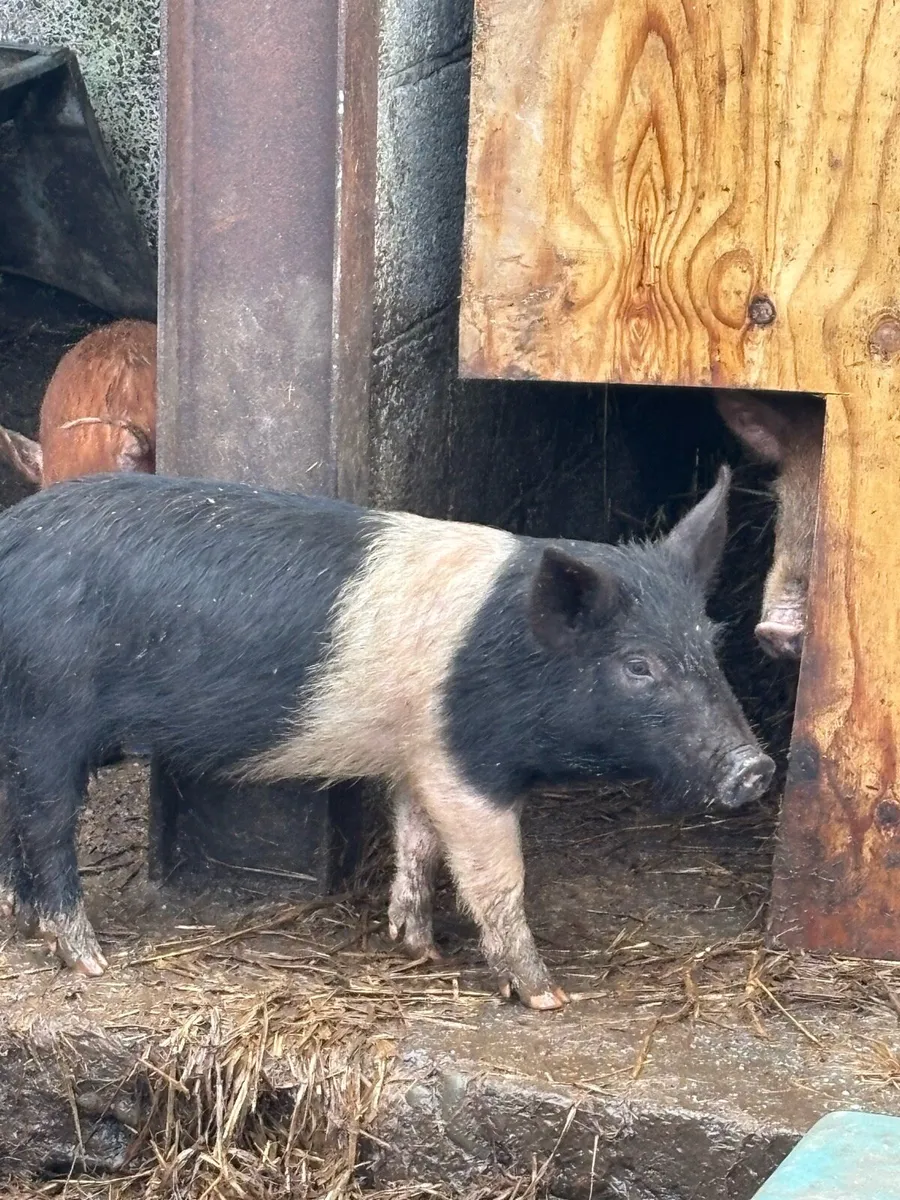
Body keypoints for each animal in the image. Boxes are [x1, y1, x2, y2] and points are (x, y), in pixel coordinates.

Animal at [0, 466, 773, 1008]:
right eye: (638, 666)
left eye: (710, 644)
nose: (756, 768)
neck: (509, 656)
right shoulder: (467, 761)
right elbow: (497, 874)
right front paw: (549, 997)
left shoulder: (417, 753)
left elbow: (417, 839)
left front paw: (418, 948)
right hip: (48, 712)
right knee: (45, 824)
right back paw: (86, 956)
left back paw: (24, 920)